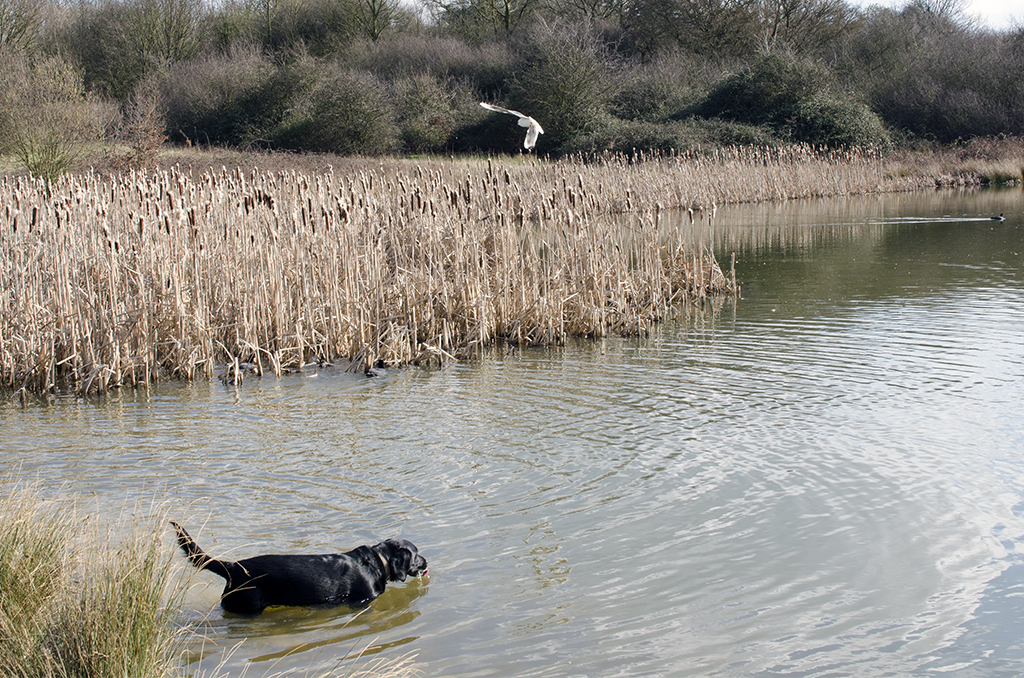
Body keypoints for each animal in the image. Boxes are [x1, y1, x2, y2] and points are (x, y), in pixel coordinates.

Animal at [169, 520, 425, 614]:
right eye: (416, 554)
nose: (427, 562)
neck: (378, 561)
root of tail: (232, 566)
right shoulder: (363, 600)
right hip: (250, 604)